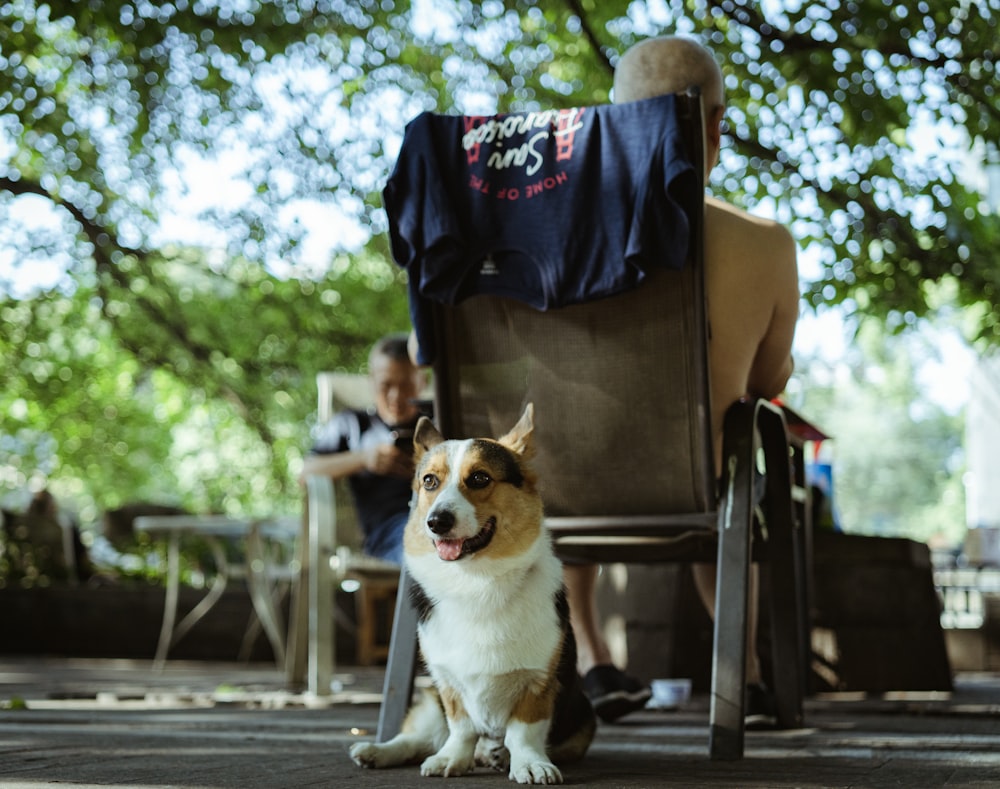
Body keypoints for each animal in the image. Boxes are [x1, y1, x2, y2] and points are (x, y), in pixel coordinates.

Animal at [350, 404, 592, 784]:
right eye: (429, 481)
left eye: (479, 478)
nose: (437, 522)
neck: (477, 582)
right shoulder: (447, 684)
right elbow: (460, 727)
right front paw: (451, 759)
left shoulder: (538, 682)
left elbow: (523, 732)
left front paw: (529, 763)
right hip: (429, 702)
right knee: (419, 737)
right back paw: (378, 750)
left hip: (584, 718)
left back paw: (497, 755)